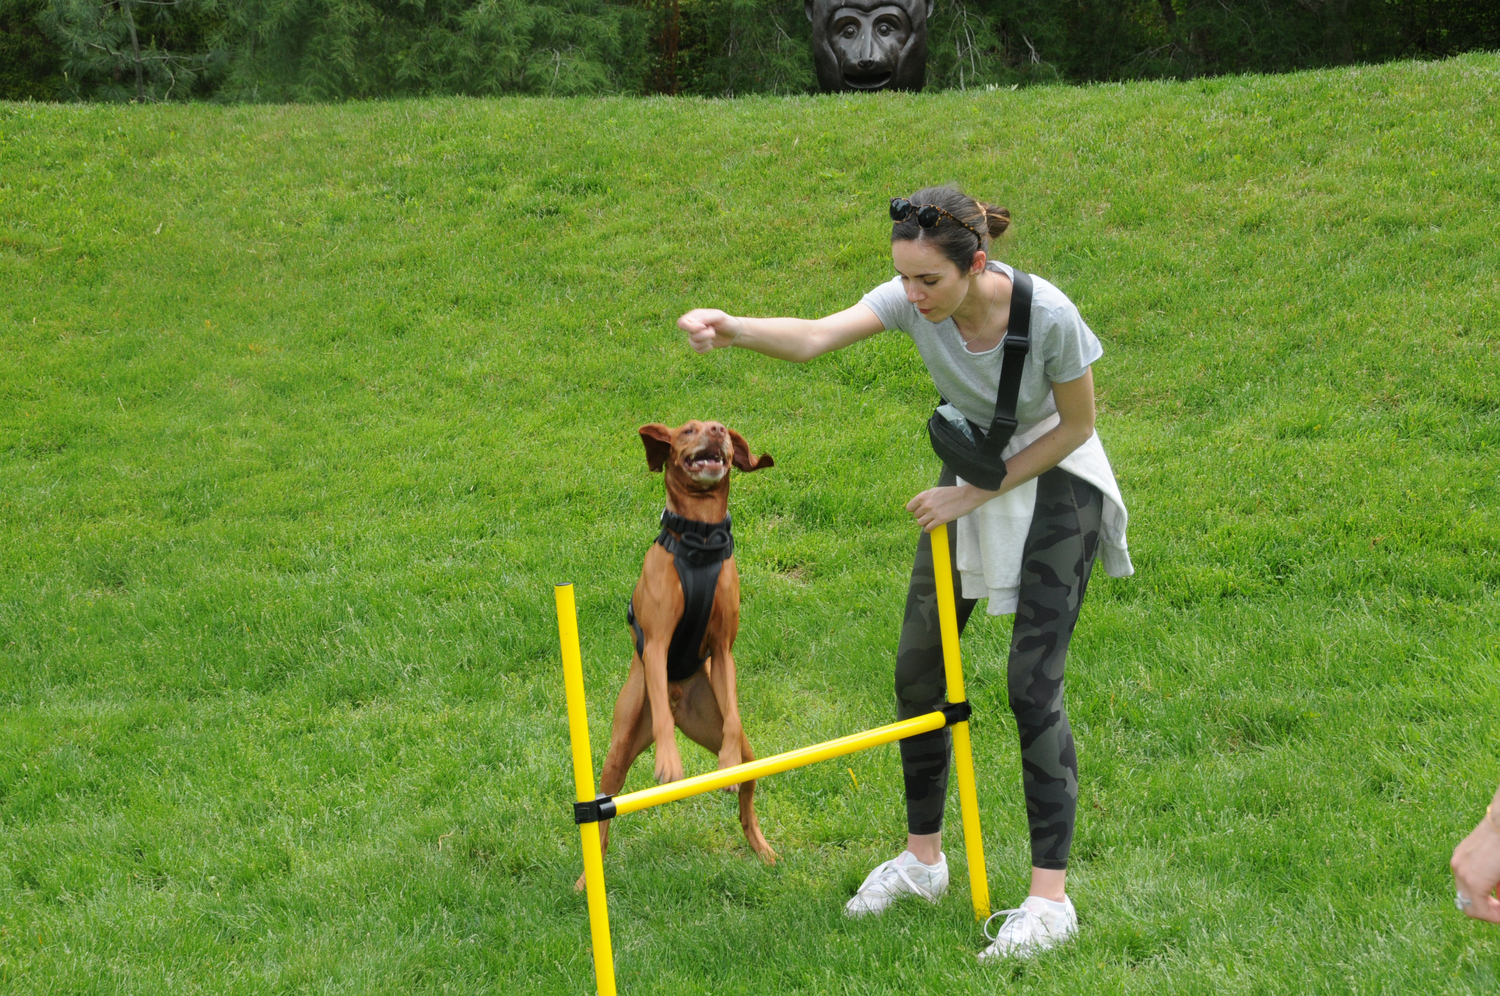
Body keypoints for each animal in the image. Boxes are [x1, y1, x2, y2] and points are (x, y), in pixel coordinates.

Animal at [576, 417, 780, 888]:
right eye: (687, 430)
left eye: (724, 426)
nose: (717, 430)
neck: (699, 539)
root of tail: (678, 698)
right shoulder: (657, 645)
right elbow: (665, 729)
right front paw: (669, 763)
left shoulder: (723, 650)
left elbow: (733, 710)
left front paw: (722, 763)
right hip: (620, 747)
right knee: (601, 819)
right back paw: (584, 880)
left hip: (736, 742)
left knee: (746, 801)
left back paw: (761, 848)